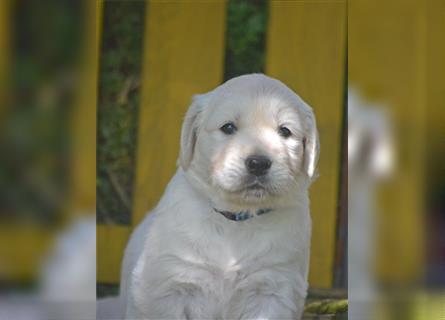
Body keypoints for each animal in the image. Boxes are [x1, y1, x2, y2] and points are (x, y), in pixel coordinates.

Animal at [119, 74, 318, 318]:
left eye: (285, 131)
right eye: (228, 127)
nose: (258, 163)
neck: (236, 219)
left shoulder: (274, 287)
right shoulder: (167, 284)